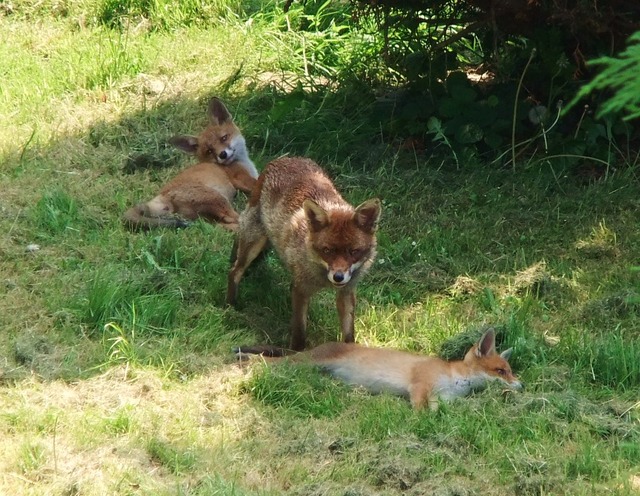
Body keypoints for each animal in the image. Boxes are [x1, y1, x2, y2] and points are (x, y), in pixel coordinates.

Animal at [123, 97, 259, 231]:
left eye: (224, 138)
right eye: (209, 151)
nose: (223, 155)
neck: (242, 162)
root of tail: (161, 196)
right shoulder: (241, 178)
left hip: (207, 215)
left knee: (222, 225)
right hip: (217, 198)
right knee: (234, 220)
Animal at [226, 156, 382, 351]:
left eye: (354, 251)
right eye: (326, 250)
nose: (338, 277)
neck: (322, 277)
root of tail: (284, 158)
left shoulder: (346, 293)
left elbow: (348, 334)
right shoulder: (300, 289)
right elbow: (299, 333)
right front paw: (296, 354)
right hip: (254, 243)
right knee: (234, 271)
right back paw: (230, 306)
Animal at [236, 328, 523, 410]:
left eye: (510, 371)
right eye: (502, 371)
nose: (521, 385)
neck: (455, 379)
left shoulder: (440, 398)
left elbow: (436, 412)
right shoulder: (419, 385)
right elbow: (420, 411)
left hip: (312, 370)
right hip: (304, 362)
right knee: (270, 362)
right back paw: (245, 361)